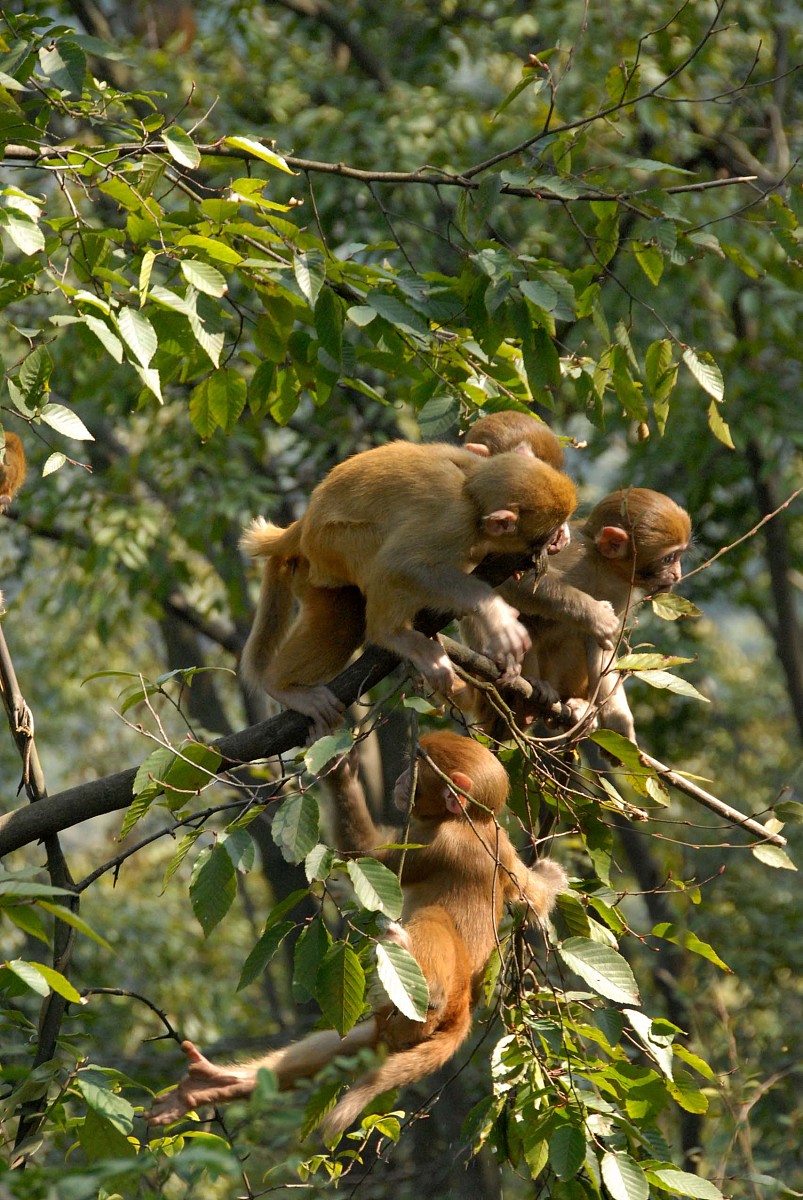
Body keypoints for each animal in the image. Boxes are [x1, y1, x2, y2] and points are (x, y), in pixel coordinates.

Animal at [148, 724, 564, 1137]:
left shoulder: (434, 842)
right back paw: (213, 1083)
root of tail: (461, 1014)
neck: (470, 822)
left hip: (420, 1009)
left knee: (432, 924)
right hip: (395, 1027)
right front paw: (550, 875)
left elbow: (364, 855)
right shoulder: (501, 845)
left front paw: (338, 771)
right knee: (356, 1044)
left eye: (416, 768)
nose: (400, 780)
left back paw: (418, 971)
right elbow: (533, 895)